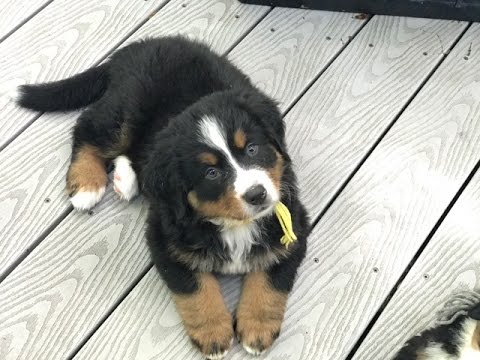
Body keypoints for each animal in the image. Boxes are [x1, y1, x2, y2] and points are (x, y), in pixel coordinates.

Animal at [15, 36, 312, 358]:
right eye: (211, 173)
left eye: (252, 149)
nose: (257, 195)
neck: (234, 224)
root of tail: (139, 45)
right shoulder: (164, 240)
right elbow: (195, 289)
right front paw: (213, 334)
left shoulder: (293, 222)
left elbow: (271, 279)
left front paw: (257, 328)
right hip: (124, 111)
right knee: (87, 127)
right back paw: (86, 186)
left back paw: (125, 179)